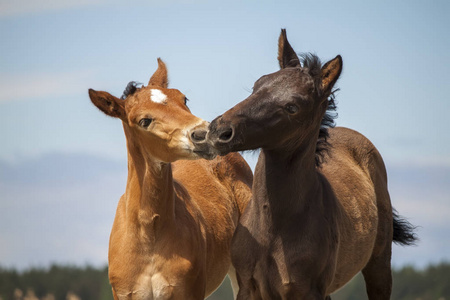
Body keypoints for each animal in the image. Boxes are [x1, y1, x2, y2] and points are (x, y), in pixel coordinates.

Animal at [86, 58, 251, 298]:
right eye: (144, 121)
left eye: (183, 98)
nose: (205, 134)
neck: (148, 237)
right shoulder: (124, 293)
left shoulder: (189, 291)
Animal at [202, 29, 416, 298]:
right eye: (257, 85)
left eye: (292, 107)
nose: (219, 131)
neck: (274, 230)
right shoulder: (248, 287)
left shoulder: (306, 290)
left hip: (379, 264)